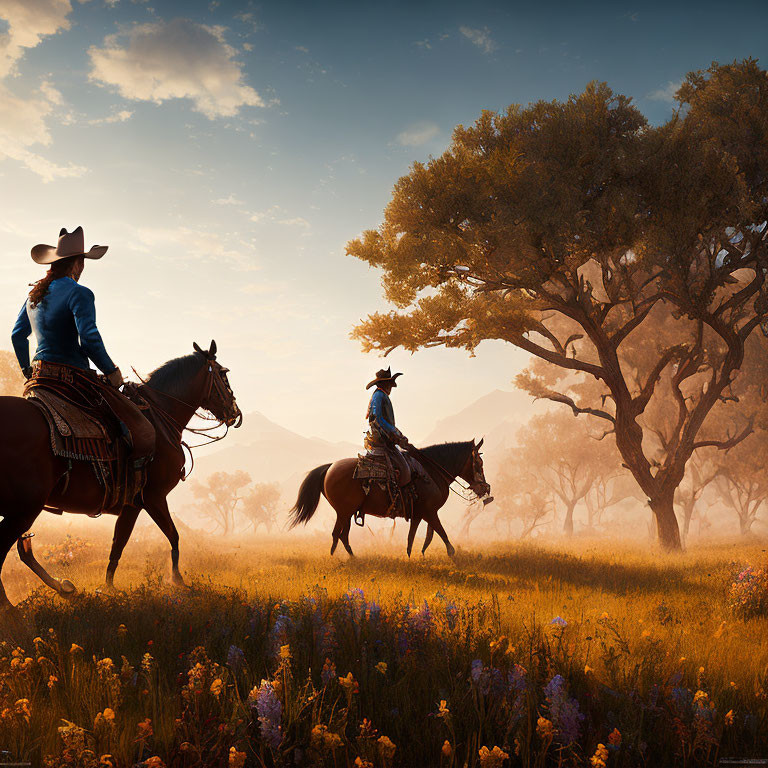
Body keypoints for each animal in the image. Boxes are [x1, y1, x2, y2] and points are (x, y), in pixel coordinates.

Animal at [0, 342, 242, 612]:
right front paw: (177, 581)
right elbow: (166, 535)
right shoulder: (150, 498)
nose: (235, 413)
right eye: (223, 373)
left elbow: (120, 542)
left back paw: (60, 588)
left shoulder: (133, 504)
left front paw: (107, 588)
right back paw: (15, 605)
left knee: (19, 549)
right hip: (26, 508)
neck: (159, 418)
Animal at [288, 438, 492, 560]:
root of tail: (330, 467)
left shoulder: (419, 514)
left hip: (346, 513)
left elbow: (415, 538)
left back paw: (352, 558)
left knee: (342, 535)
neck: (431, 472)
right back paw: (337, 558)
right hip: (343, 512)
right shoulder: (430, 512)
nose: (485, 488)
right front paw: (452, 555)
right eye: (479, 463)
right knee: (336, 534)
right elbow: (441, 533)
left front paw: (412, 557)